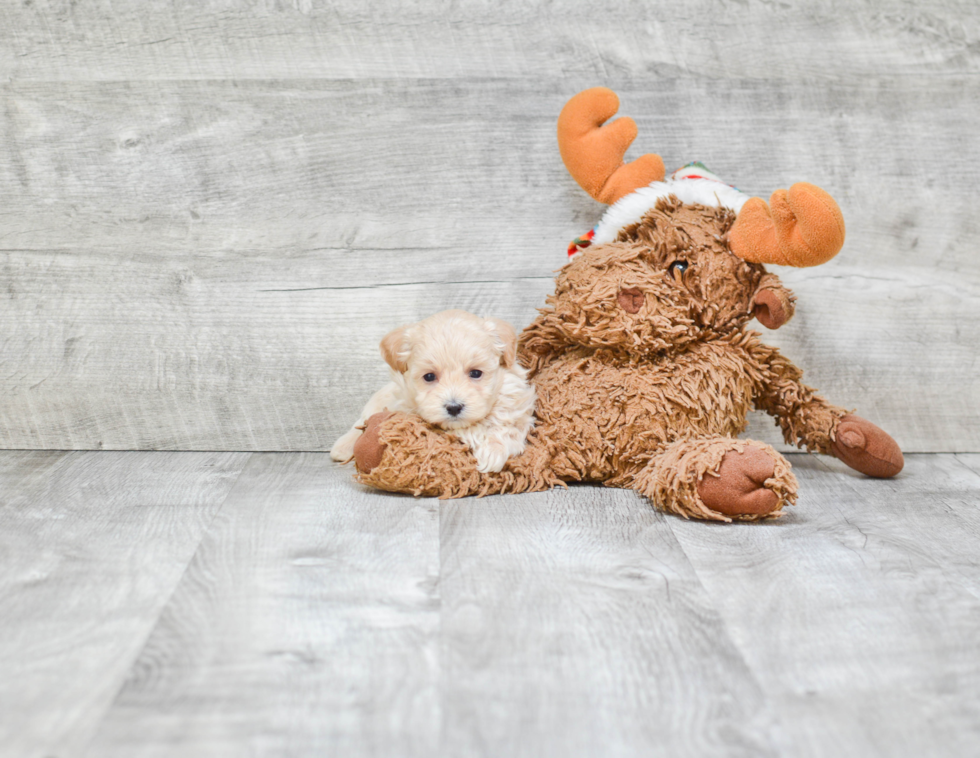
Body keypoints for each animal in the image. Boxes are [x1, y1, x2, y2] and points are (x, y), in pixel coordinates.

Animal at [334, 312, 536, 472]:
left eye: (476, 373)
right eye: (429, 376)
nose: (454, 407)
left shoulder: (518, 412)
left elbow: (508, 431)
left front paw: (492, 452)